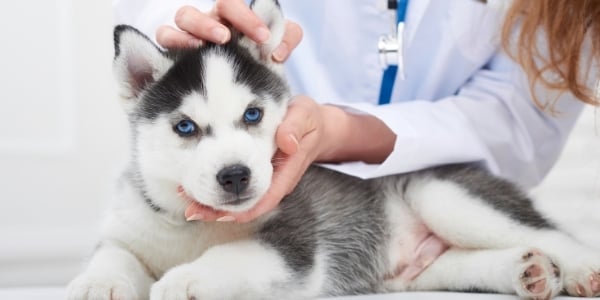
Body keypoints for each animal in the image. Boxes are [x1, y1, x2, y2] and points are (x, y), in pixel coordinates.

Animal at [68, 1, 600, 298]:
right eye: (185, 127)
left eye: (253, 115)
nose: (235, 175)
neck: (191, 225)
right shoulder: (130, 226)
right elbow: (114, 255)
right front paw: (97, 282)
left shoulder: (296, 244)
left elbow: (232, 256)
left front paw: (185, 279)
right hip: (415, 273)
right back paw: (527, 271)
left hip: (442, 194)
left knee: (552, 234)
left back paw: (580, 269)